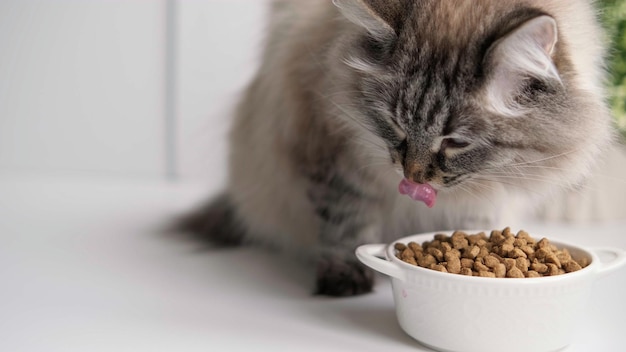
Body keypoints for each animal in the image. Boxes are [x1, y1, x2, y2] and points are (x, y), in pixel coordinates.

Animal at [178, 0, 612, 296]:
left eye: (455, 142)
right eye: (395, 124)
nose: (412, 175)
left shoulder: (483, 200)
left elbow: (471, 228)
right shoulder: (334, 159)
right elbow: (346, 228)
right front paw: (345, 282)